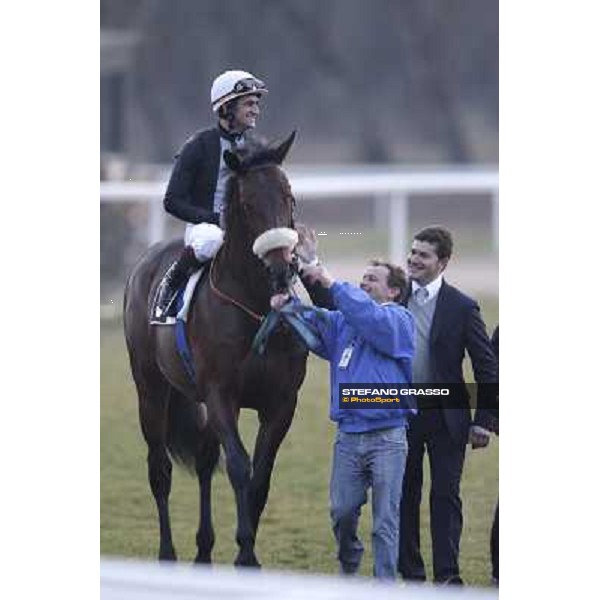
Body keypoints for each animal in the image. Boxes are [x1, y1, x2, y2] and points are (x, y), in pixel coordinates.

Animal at [123, 132, 308, 568]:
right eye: (247, 204)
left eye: (289, 197)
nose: (282, 270)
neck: (256, 307)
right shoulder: (221, 394)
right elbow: (240, 467)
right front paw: (246, 555)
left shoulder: (281, 403)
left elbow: (260, 477)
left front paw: (245, 550)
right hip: (150, 387)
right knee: (159, 468)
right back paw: (168, 553)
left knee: (206, 461)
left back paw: (203, 551)